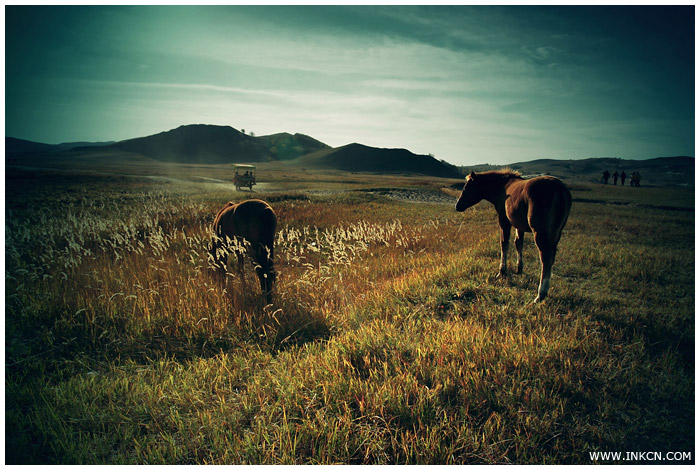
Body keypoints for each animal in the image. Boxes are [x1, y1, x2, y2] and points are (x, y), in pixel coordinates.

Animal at [456, 171, 572, 302]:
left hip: (540, 232)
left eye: (466, 188)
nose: (457, 206)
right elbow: (518, 243)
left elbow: (504, 243)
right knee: (551, 256)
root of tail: (560, 190)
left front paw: (502, 272)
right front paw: (519, 268)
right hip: (556, 233)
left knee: (545, 258)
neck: (502, 186)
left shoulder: (504, 219)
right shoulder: (519, 225)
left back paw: (540, 294)